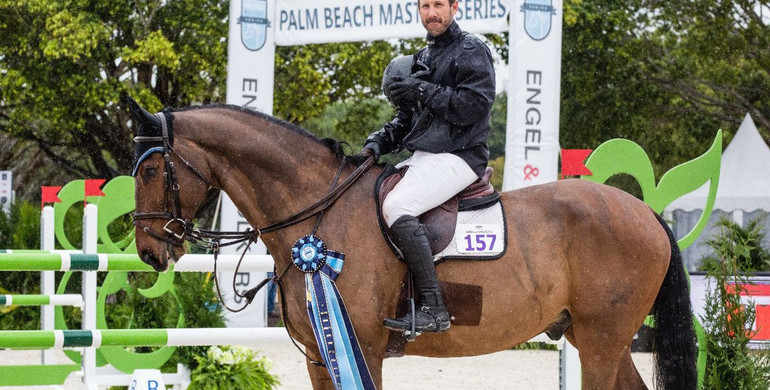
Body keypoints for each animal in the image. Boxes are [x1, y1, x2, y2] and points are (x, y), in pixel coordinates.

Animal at [129, 98, 692, 390]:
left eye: (152, 170)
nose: (150, 253)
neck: (317, 214)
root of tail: (644, 212)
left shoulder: (364, 349)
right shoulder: (320, 356)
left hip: (601, 341)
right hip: (596, 338)